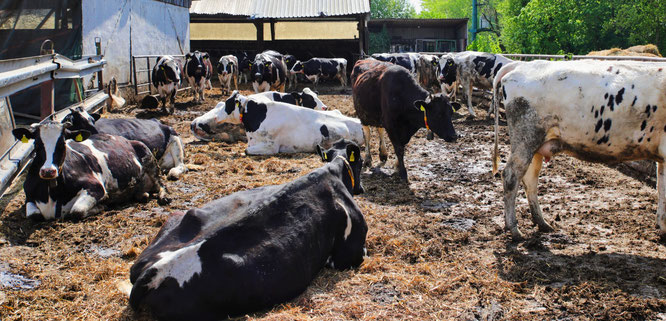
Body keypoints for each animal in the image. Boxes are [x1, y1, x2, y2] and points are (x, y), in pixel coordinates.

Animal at [12, 120, 169, 220]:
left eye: (62, 142)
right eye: (37, 143)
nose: (48, 171)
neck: (53, 194)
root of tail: (126, 139)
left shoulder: (95, 187)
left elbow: (77, 211)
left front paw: (102, 205)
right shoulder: (29, 197)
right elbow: (34, 216)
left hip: (150, 159)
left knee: (161, 184)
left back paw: (164, 197)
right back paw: (142, 195)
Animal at [128, 141, 368, 320]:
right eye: (362, 162)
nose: (362, 188)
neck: (333, 173)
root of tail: (150, 272)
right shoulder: (348, 256)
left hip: (177, 219)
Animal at [488, 60, 664, 239]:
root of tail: (520, 64)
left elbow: (661, 188)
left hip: (536, 146)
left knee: (530, 180)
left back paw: (543, 224)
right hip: (526, 139)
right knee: (511, 176)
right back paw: (514, 229)